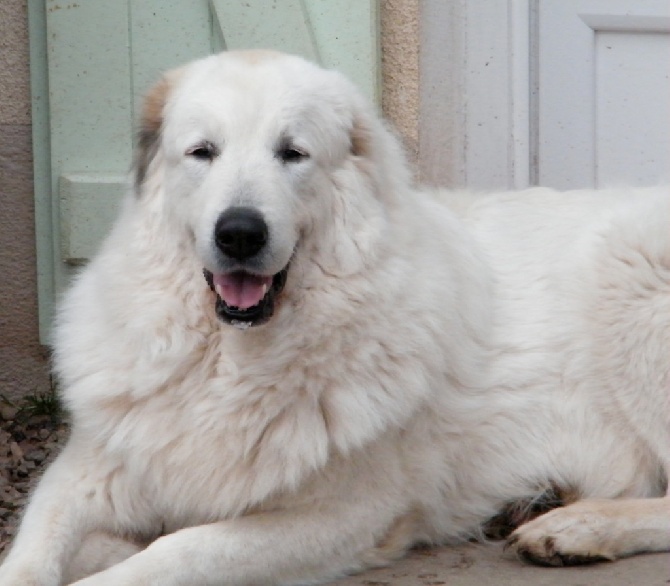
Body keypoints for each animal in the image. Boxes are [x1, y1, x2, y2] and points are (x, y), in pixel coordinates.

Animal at [1, 51, 670, 584]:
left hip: (631, 278)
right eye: (202, 153)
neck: (228, 362)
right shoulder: (88, 473)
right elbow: (32, 551)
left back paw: (579, 527)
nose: (239, 233)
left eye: (292, 154)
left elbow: (177, 550)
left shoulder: (342, 516)